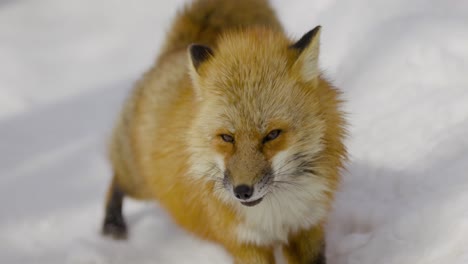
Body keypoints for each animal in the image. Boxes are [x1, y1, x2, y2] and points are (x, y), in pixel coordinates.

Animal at [104, 0, 350, 262]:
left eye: (272, 135)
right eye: (227, 137)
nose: (242, 192)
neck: (276, 215)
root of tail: (174, 53)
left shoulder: (307, 229)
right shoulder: (244, 242)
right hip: (139, 183)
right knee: (116, 178)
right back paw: (112, 223)